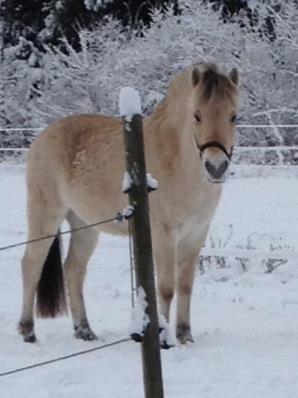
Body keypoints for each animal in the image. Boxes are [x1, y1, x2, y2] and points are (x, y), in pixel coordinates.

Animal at [18, 63, 240, 344]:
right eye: (197, 115)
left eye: (234, 116)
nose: (216, 167)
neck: (175, 159)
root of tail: (42, 136)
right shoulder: (163, 233)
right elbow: (166, 288)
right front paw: (163, 338)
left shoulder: (196, 234)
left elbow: (185, 286)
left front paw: (185, 336)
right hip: (45, 215)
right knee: (31, 264)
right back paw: (28, 331)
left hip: (84, 225)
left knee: (74, 270)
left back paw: (84, 330)